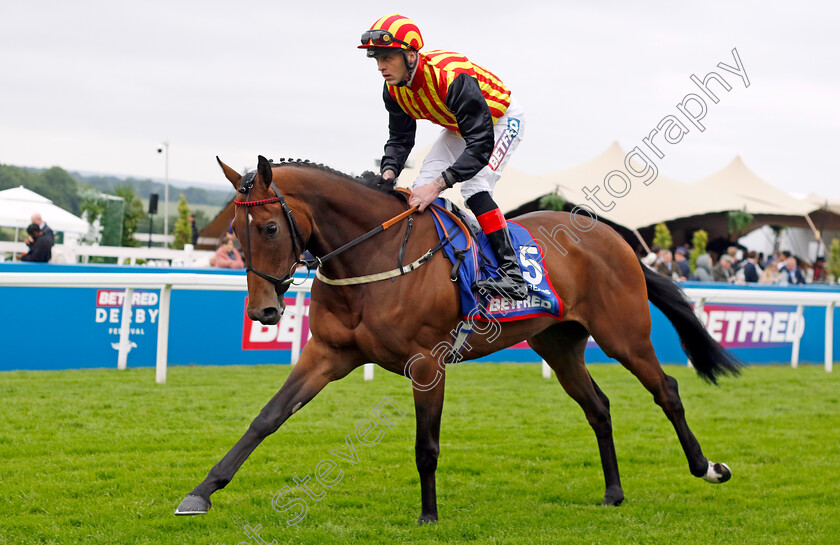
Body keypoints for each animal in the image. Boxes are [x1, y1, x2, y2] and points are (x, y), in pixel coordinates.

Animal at [174, 155, 740, 520]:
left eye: (269, 228)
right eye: (234, 233)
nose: (264, 311)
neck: (373, 257)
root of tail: (615, 238)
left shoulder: (427, 363)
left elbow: (426, 443)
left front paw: (428, 516)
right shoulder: (327, 354)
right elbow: (266, 418)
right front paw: (202, 491)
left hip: (624, 334)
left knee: (666, 390)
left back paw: (706, 467)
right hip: (558, 344)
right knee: (598, 407)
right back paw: (614, 492)